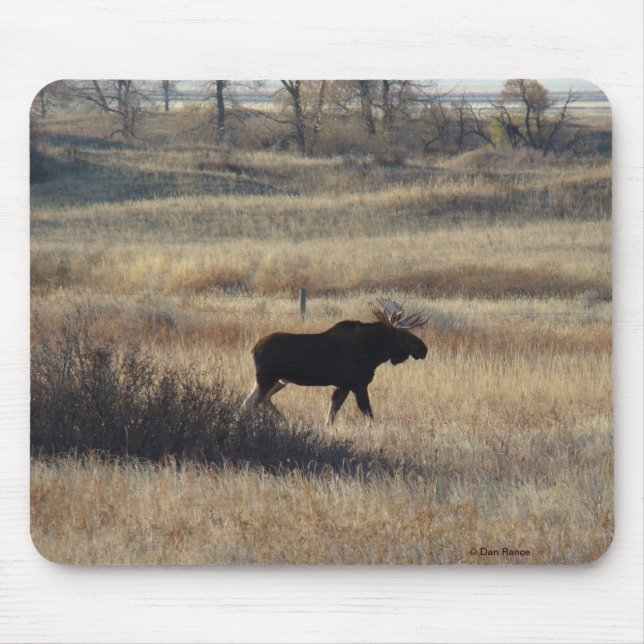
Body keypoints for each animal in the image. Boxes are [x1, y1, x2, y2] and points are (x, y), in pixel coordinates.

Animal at [243, 298, 430, 424]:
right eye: (404, 333)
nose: (423, 349)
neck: (373, 353)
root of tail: (254, 349)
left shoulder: (344, 385)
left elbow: (331, 414)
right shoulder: (358, 384)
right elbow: (369, 414)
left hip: (280, 380)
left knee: (262, 399)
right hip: (267, 377)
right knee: (250, 402)